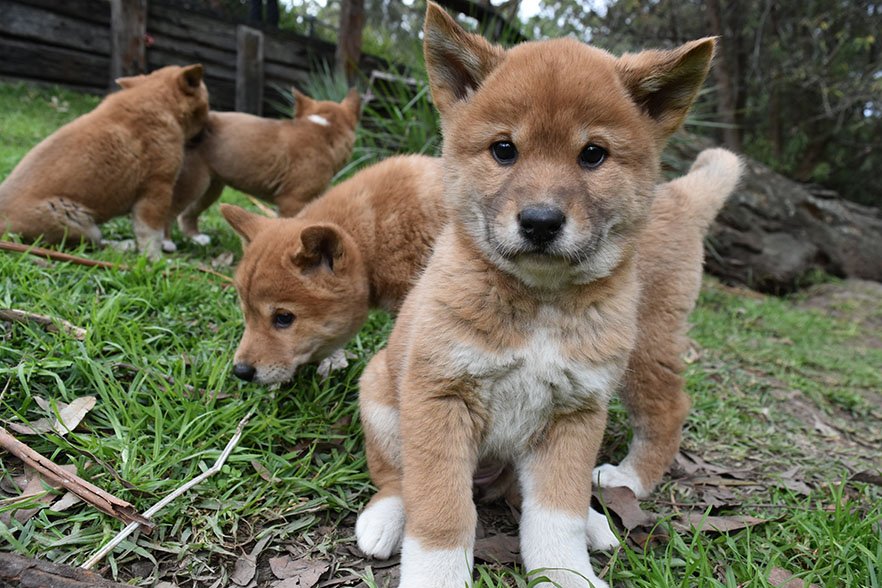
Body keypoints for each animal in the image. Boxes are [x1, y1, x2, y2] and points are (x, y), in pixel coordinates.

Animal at [0, 63, 208, 258]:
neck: (160, 102)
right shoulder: (157, 190)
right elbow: (151, 235)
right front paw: (156, 260)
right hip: (78, 222)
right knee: (93, 245)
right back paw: (121, 246)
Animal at [170, 87, 360, 243]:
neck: (322, 130)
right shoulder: (292, 201)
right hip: (192, 183)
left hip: (210, 188)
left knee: (187, 213)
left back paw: (196, 238)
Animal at [352, 3, 728, 584]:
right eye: (504, 150)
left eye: (592, 155)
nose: (541, 221)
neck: (540, 307)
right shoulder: (439, 398)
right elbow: (440, 511)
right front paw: (437, 572)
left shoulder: (574, 415)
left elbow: (556, 516)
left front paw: (568, 573)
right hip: (381, 396)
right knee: (396, 479)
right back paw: (385, 519)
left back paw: (611, 501)